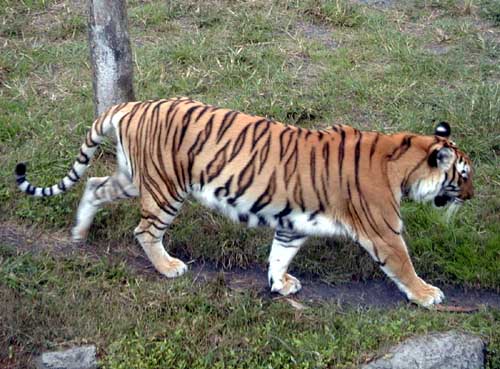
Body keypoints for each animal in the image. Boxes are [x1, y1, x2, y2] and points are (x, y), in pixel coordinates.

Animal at [13, 96, 474, 306]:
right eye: (464, 175)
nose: (472, 196)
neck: (404, 160)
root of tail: (134, 104)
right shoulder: (383, 232)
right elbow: (404, 265)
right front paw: (427, 294)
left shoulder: (293, 224)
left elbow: (279, 256)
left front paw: (279, 285)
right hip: (165, 189)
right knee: (144, 230)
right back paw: (168, 268)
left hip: (134, 177)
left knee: (94, 185)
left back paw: (79, 233)